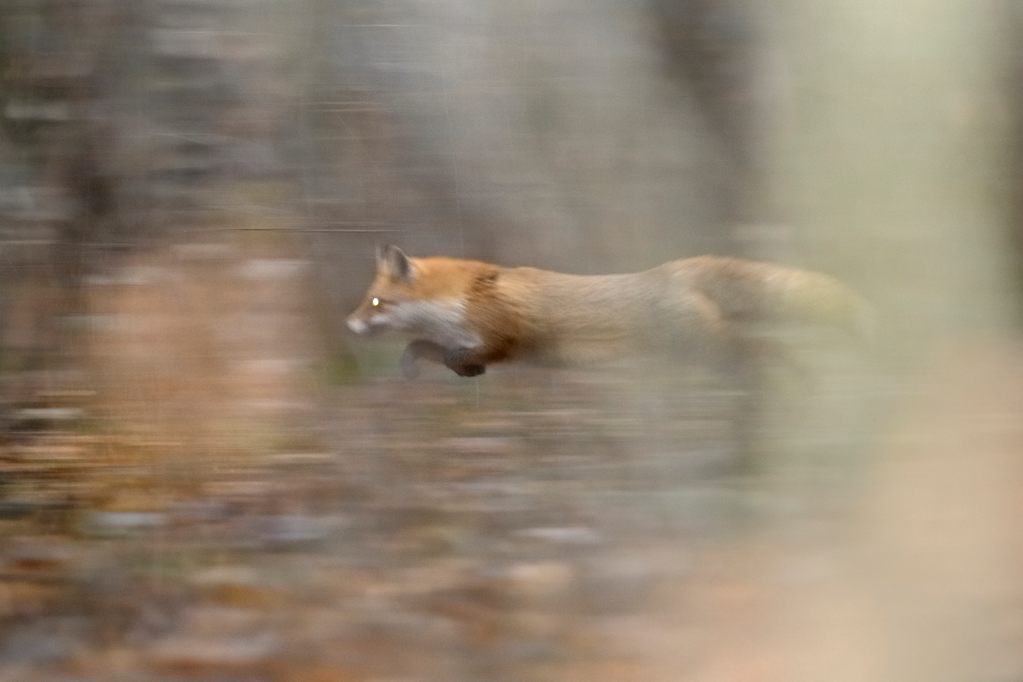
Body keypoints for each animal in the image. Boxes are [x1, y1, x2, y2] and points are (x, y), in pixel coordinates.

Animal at [347, 244, 873, 379]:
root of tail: (672, 269)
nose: (348, 325)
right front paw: (415, 363)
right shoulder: (462, 340)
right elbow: (427, 347)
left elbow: (475, 352)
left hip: (707, 346)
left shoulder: (509, 337)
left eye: (375, 302)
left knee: (766, 351)